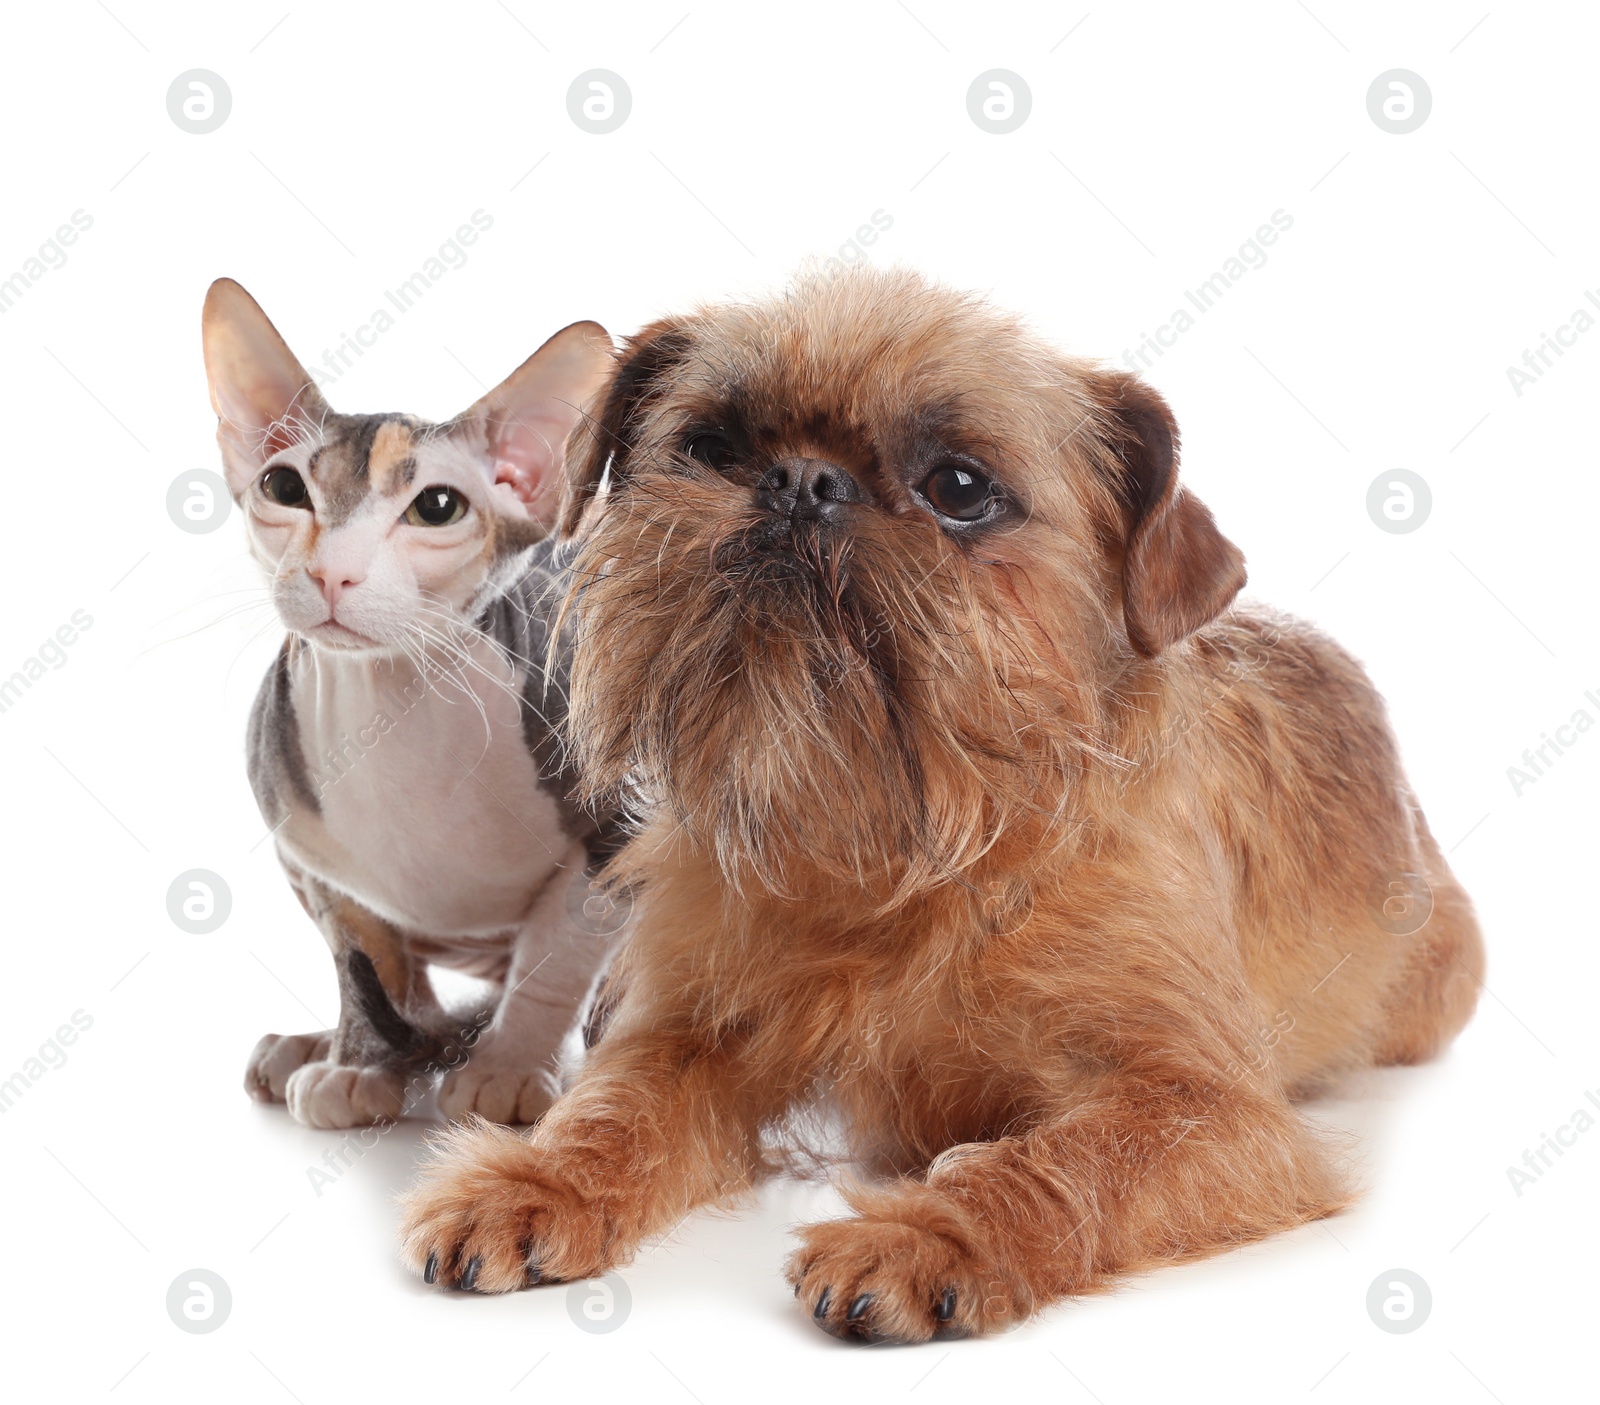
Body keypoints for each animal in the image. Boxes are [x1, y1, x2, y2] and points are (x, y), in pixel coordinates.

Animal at [400, 272, 1484, 1344]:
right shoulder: (688, 1031)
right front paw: (537, 1179)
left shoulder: (1203, 1111)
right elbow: (613, 1107)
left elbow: (1063, 1163)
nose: (802, 480)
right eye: (708, 447)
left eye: (960, 488)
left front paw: (932, 1236)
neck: (892, 833)